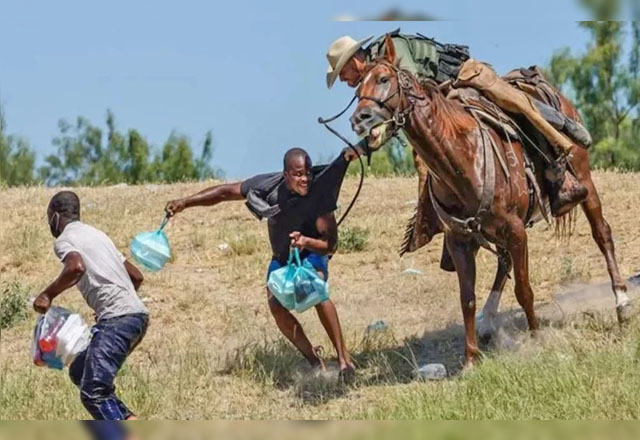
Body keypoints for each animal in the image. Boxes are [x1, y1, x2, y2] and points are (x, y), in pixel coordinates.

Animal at [349, 35, 631, 368]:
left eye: (383, 79)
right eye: (357, 88)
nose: (359, 119)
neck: (462, 159)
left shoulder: (516, 230)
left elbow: (524, 290)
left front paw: (536, 339)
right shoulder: (459, 239)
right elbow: (467, 298)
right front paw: (471, 358)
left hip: (584, 179)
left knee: (602, 233)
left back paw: (622, 303)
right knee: (503, 261)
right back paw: (488, 320)